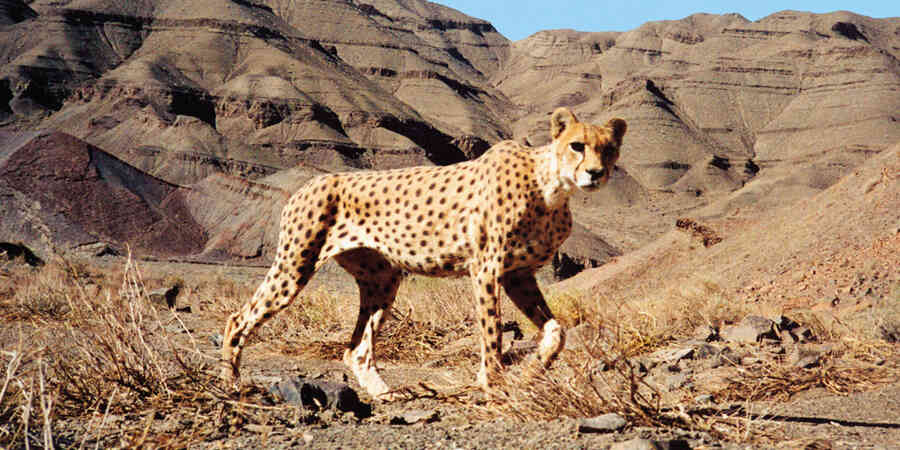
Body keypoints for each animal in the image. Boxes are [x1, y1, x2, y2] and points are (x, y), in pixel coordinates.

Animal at [221, 107, 627, 399]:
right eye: (577, 145)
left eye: (608, 148)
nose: (596, 173)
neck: (551, 188)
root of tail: (311, 182)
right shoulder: (487, 269)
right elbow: (492, 335)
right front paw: (492, 384)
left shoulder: (518, 274)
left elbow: (557, 332)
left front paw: (529, 373)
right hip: (295, 265)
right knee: (238, 319)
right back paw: (232, 384)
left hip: (382, 280)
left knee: (357, 349)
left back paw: (387, 396)